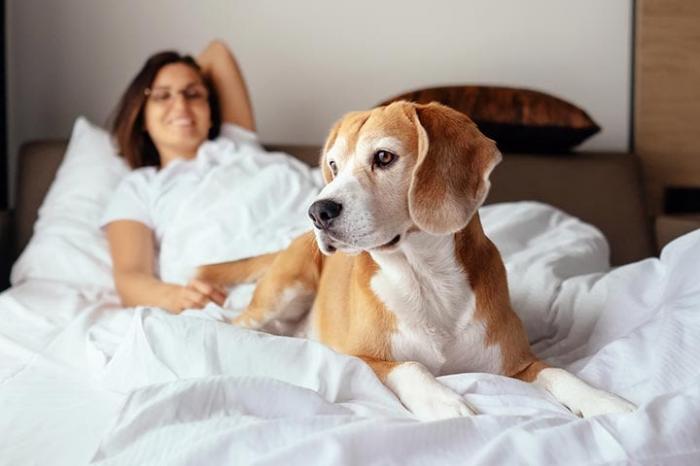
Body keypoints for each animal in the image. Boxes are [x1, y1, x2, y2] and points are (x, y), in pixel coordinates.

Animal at [200, 102, 636, 422]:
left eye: (383, 157)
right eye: (334, 166)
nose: (317, 212)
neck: (425, 277)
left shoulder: (519, 364)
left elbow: (560, 372)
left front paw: (604, 401)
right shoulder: (363, 358)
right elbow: (411, 366)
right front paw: (444, 402)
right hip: (284, 290)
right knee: (239, 321)